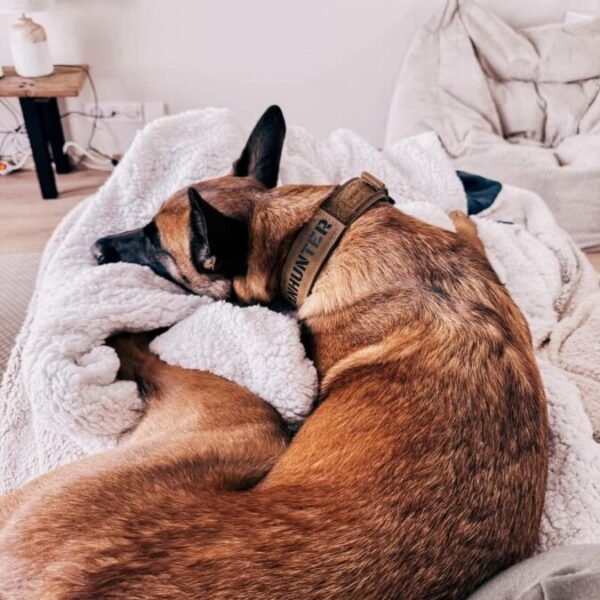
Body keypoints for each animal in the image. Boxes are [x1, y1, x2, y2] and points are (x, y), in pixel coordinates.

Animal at [0, 105, 548, 596]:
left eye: (156, 244)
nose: (96, 248)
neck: (314, 236)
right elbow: (469, 229)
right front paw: (463, 213)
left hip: (248, 427)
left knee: (147, 353)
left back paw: (124, 333)